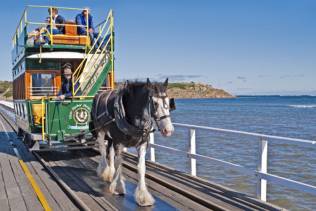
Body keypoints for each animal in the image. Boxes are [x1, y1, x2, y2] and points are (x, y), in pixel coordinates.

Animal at [90, 78, 175, 206]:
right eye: (155, 103)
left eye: (168, 102)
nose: (168, 130)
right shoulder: (119, 143)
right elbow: (119, 163)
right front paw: (118, 187)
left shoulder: (142, 144)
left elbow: (141, 168)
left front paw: (143, 196)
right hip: (100, 130)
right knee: (103, 151)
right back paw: (104, 171)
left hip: (111, 137)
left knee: (110, 151)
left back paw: (110, 173)